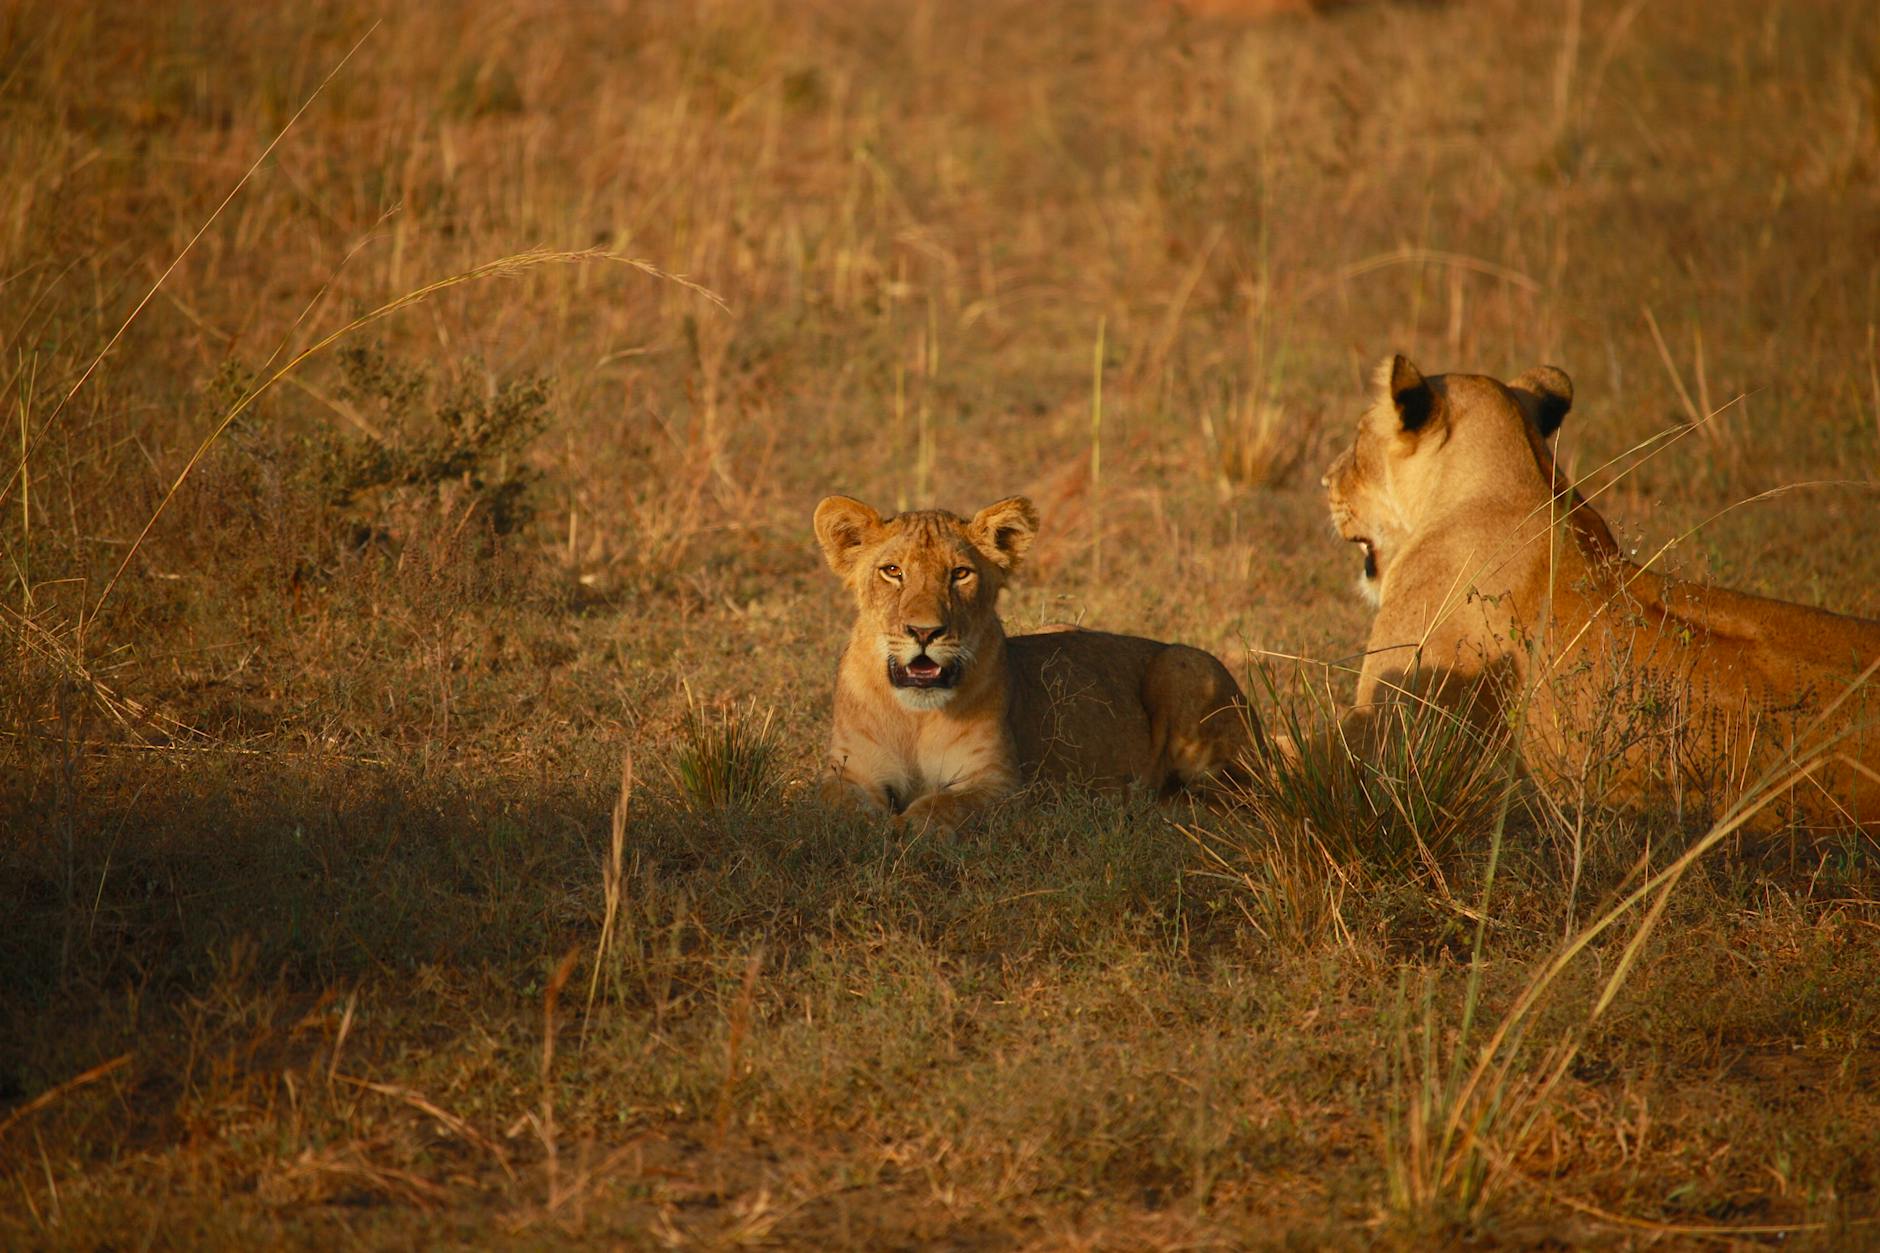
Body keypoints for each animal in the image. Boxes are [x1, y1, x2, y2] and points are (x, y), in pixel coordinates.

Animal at [813, 494, 1252, 830]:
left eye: (960, 573)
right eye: (892, 571)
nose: (924, 632)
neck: (914, 718)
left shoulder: (1002, 785)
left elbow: (943, 804)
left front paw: (902, 827)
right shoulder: (851, 771)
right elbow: (838, 806)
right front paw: (869, 828)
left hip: (1184, 665)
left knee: (1233, 800)